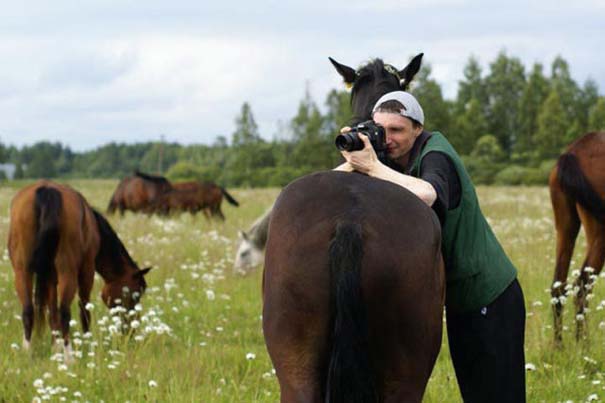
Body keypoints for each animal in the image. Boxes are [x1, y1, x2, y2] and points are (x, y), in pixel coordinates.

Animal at [8, 181, 151, 358]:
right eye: (135, 294)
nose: (131, 331)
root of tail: (47, 190)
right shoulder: (87, 270)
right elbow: (83, 309)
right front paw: (87, 343)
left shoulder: (50, 278)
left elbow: (52, 314)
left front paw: (56, 347)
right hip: (68, 271)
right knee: (64, 311)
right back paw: (70, 357)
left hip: (22, 271)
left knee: (28, 310)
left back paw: (28, 354)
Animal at [548, 132, 604, 344]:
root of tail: (574, 151)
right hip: (600, 233)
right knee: (582, 288)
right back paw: (583, 346)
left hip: (566, 227)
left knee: (558, 286)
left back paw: (560, 345)